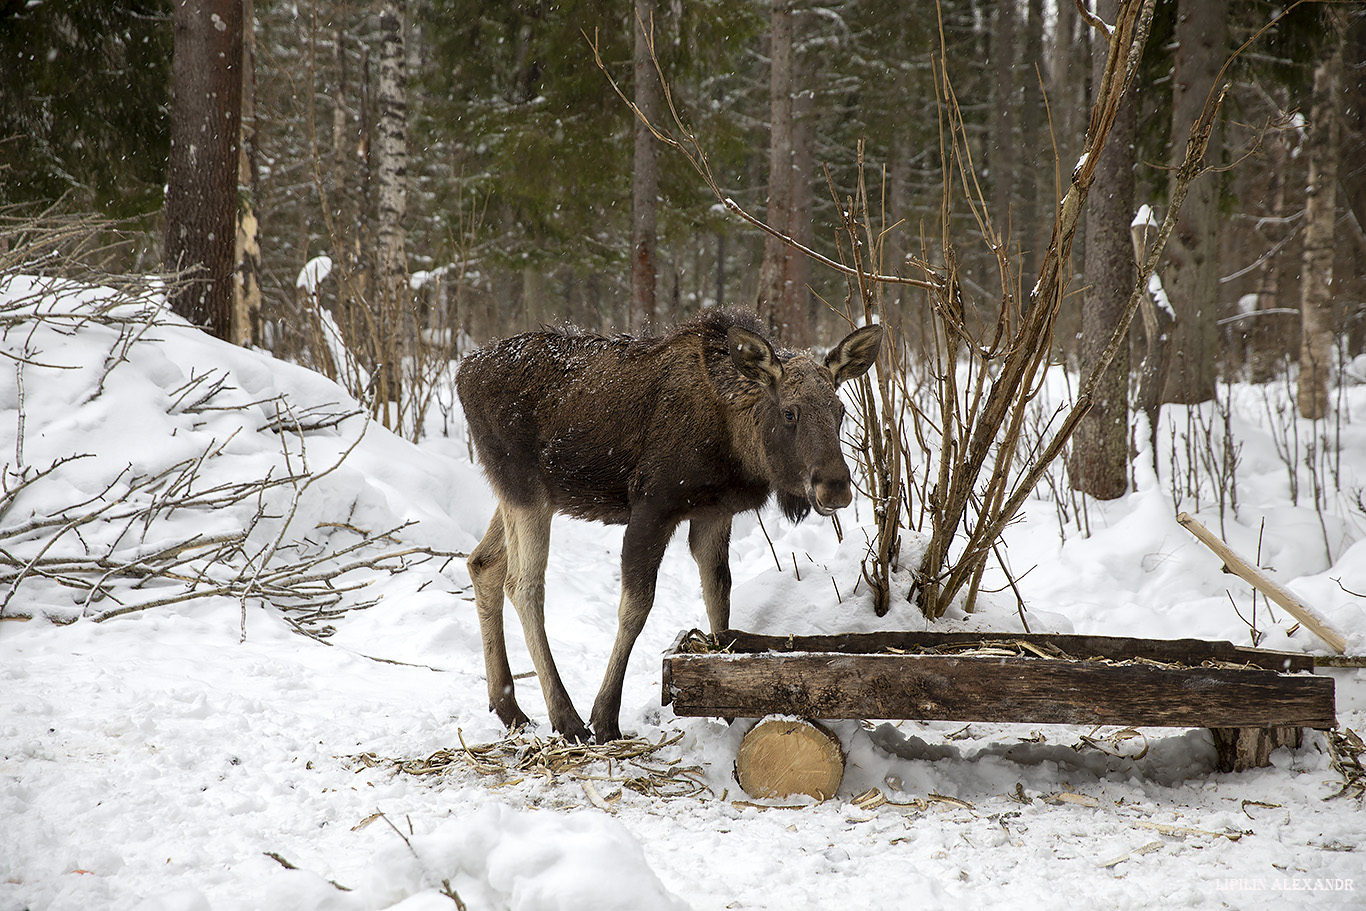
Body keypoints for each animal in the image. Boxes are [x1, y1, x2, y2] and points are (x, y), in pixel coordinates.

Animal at [456, 310, 885, 743]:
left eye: (840, 411)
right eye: (789, 412)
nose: (835, 487)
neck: (736, 445)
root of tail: (462, 372)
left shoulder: (714, 513)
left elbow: (719, 597)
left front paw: (730, 706)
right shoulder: (652, 506)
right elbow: (636, 608)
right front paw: (605, 717)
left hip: (515, 493)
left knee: (482, 563)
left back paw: (509, 708)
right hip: (526, 488)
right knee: (523, 584)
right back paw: (566, 717)